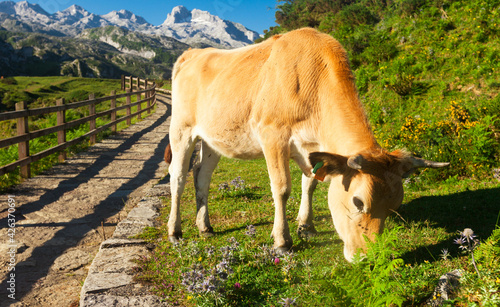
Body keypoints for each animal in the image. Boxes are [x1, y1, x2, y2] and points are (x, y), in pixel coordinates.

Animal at [165, 27, 450, 262]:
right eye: (358, 202)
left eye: (394, 207)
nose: (368, 257)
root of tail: (193, 53)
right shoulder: (272, 134)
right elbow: (282, 188)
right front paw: (282, 241)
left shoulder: (312, 147)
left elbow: (311, 183)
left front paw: (307, 226)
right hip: (181, 130)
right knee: (177, 177)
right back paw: (175, 231)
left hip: (212, 138)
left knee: (201, 176)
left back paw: (205, 226)